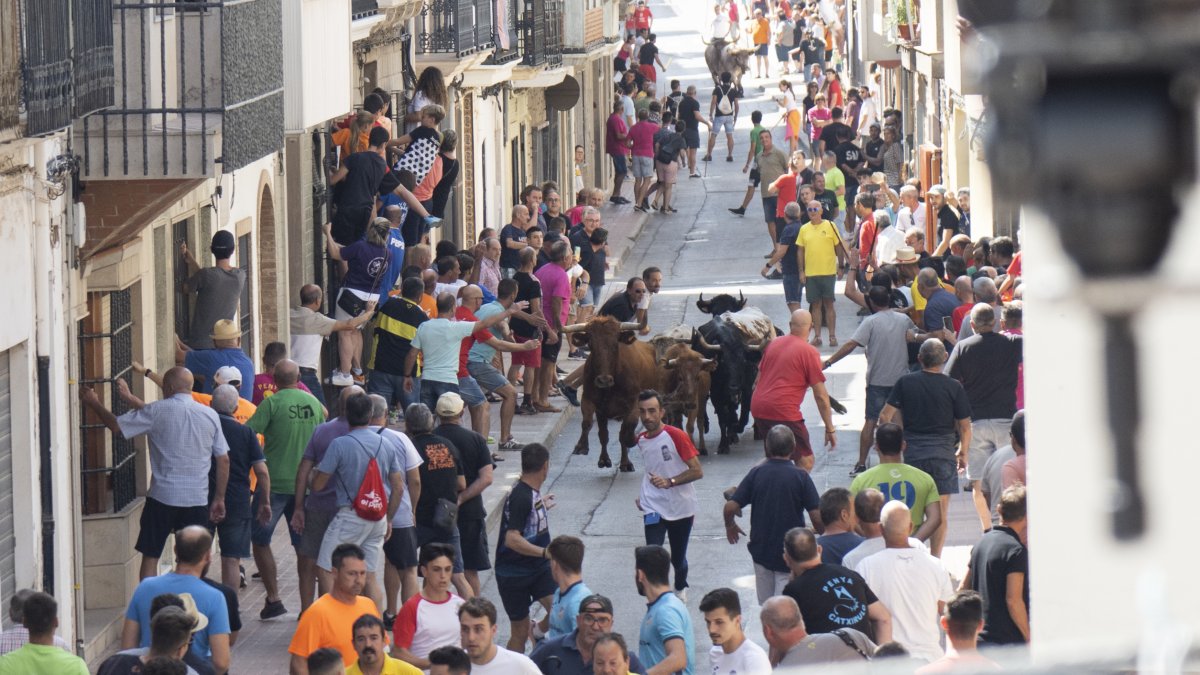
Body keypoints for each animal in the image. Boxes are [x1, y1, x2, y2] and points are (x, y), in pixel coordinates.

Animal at [564, 314, 662, 468]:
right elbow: (590, 425)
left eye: (615, 344)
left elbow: (628, 428)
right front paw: (583, 448)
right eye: (591, 344)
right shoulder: (590, 400)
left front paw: (630, 443)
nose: (603, 380)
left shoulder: (633, 404)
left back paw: (625, 462)